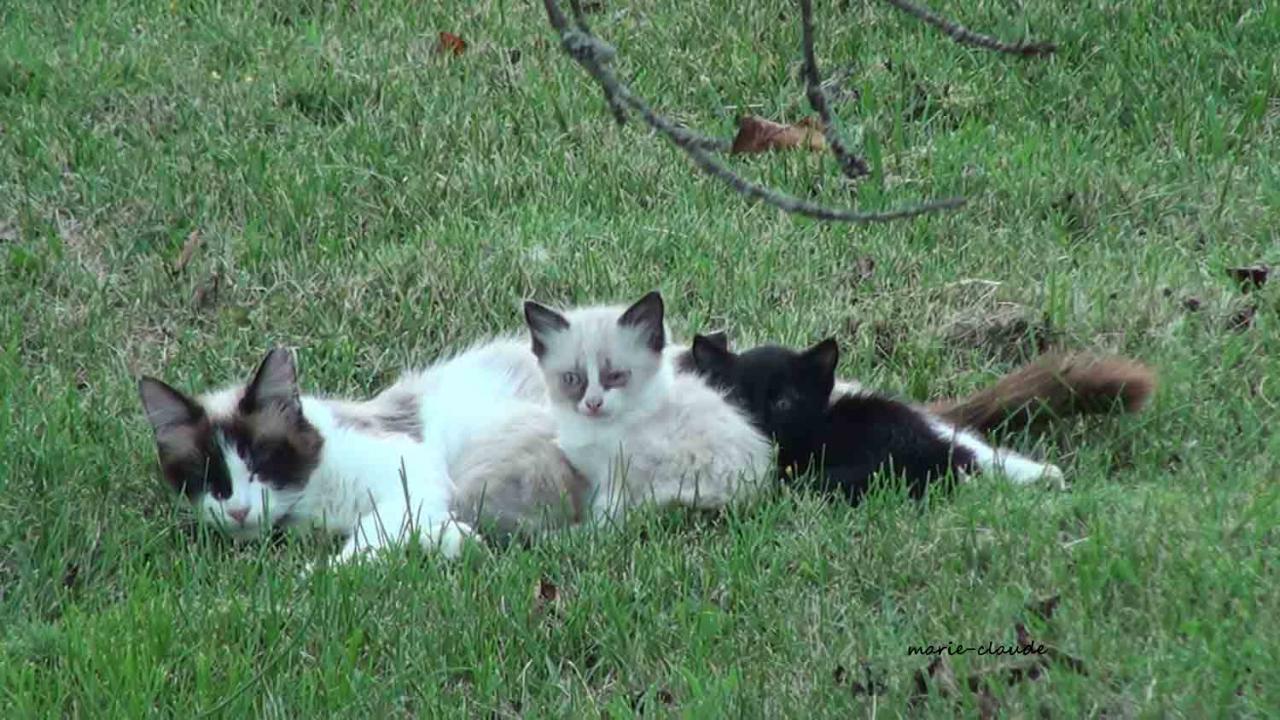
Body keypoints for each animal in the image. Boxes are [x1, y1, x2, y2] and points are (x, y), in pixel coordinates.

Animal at [138, 338, 588, 562]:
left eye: (261, 462)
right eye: (207, 478)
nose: (237, 511)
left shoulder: (413, 473)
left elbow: (374, 533)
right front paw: (452, 542)